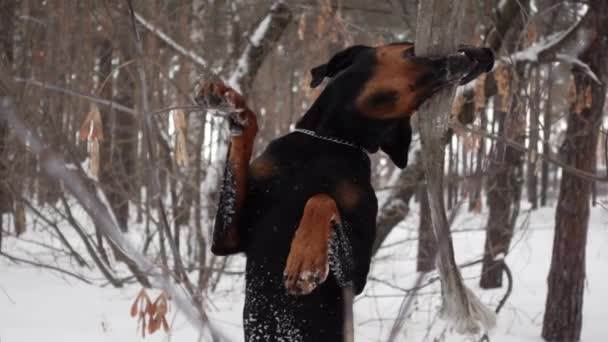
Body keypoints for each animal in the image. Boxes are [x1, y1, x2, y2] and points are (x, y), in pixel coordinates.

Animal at [196, 42, 494, 342]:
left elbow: (321, 199)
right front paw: (230, 103)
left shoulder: (356, 273)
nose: (482, 54)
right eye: (411, 50)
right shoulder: (227, 239)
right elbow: (248, 129)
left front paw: (304, 261)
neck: (331, 142)